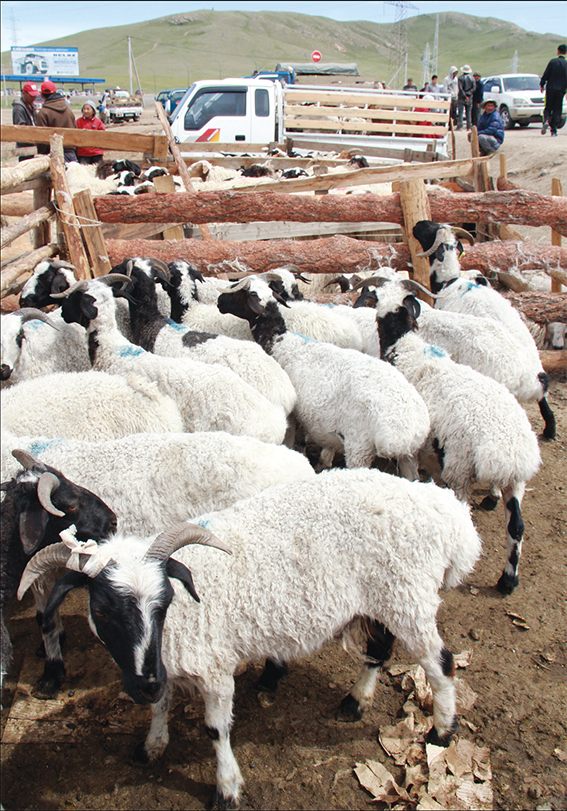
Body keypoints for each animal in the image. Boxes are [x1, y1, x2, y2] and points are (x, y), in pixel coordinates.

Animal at [19, 467, 482, 807]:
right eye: (100, 610)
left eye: (164, 602)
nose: (143, 684)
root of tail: (448, 512)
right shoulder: (160, 666)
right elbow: (160, 706)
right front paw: (151, 746)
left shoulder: (213, 668)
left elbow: (216, 730)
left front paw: (226, 789)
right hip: (385, 598)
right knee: (380, 649)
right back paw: (355, 702)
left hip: (409, 596)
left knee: (439, 663)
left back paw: (441, 732)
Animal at [217, 275, 430, 477]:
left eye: (239, 290)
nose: (219, 301)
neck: (279, 339)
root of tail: (405, 430)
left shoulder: (292, 415)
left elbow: (291, 441)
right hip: (409, 456)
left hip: (359, 446)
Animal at [368, 276, 541, 594]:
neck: (405, 348)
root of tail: (507, 451)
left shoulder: (411, 450)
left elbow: (411, 477)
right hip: (516, 481)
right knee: (517, 527)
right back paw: (507, 580)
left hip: (460, 470)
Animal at [412, 220, 556, 440]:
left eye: (429, 230)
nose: (416, 225)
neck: (450, 281)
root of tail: (528, 374)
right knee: (544, 401)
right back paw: (550, 430)